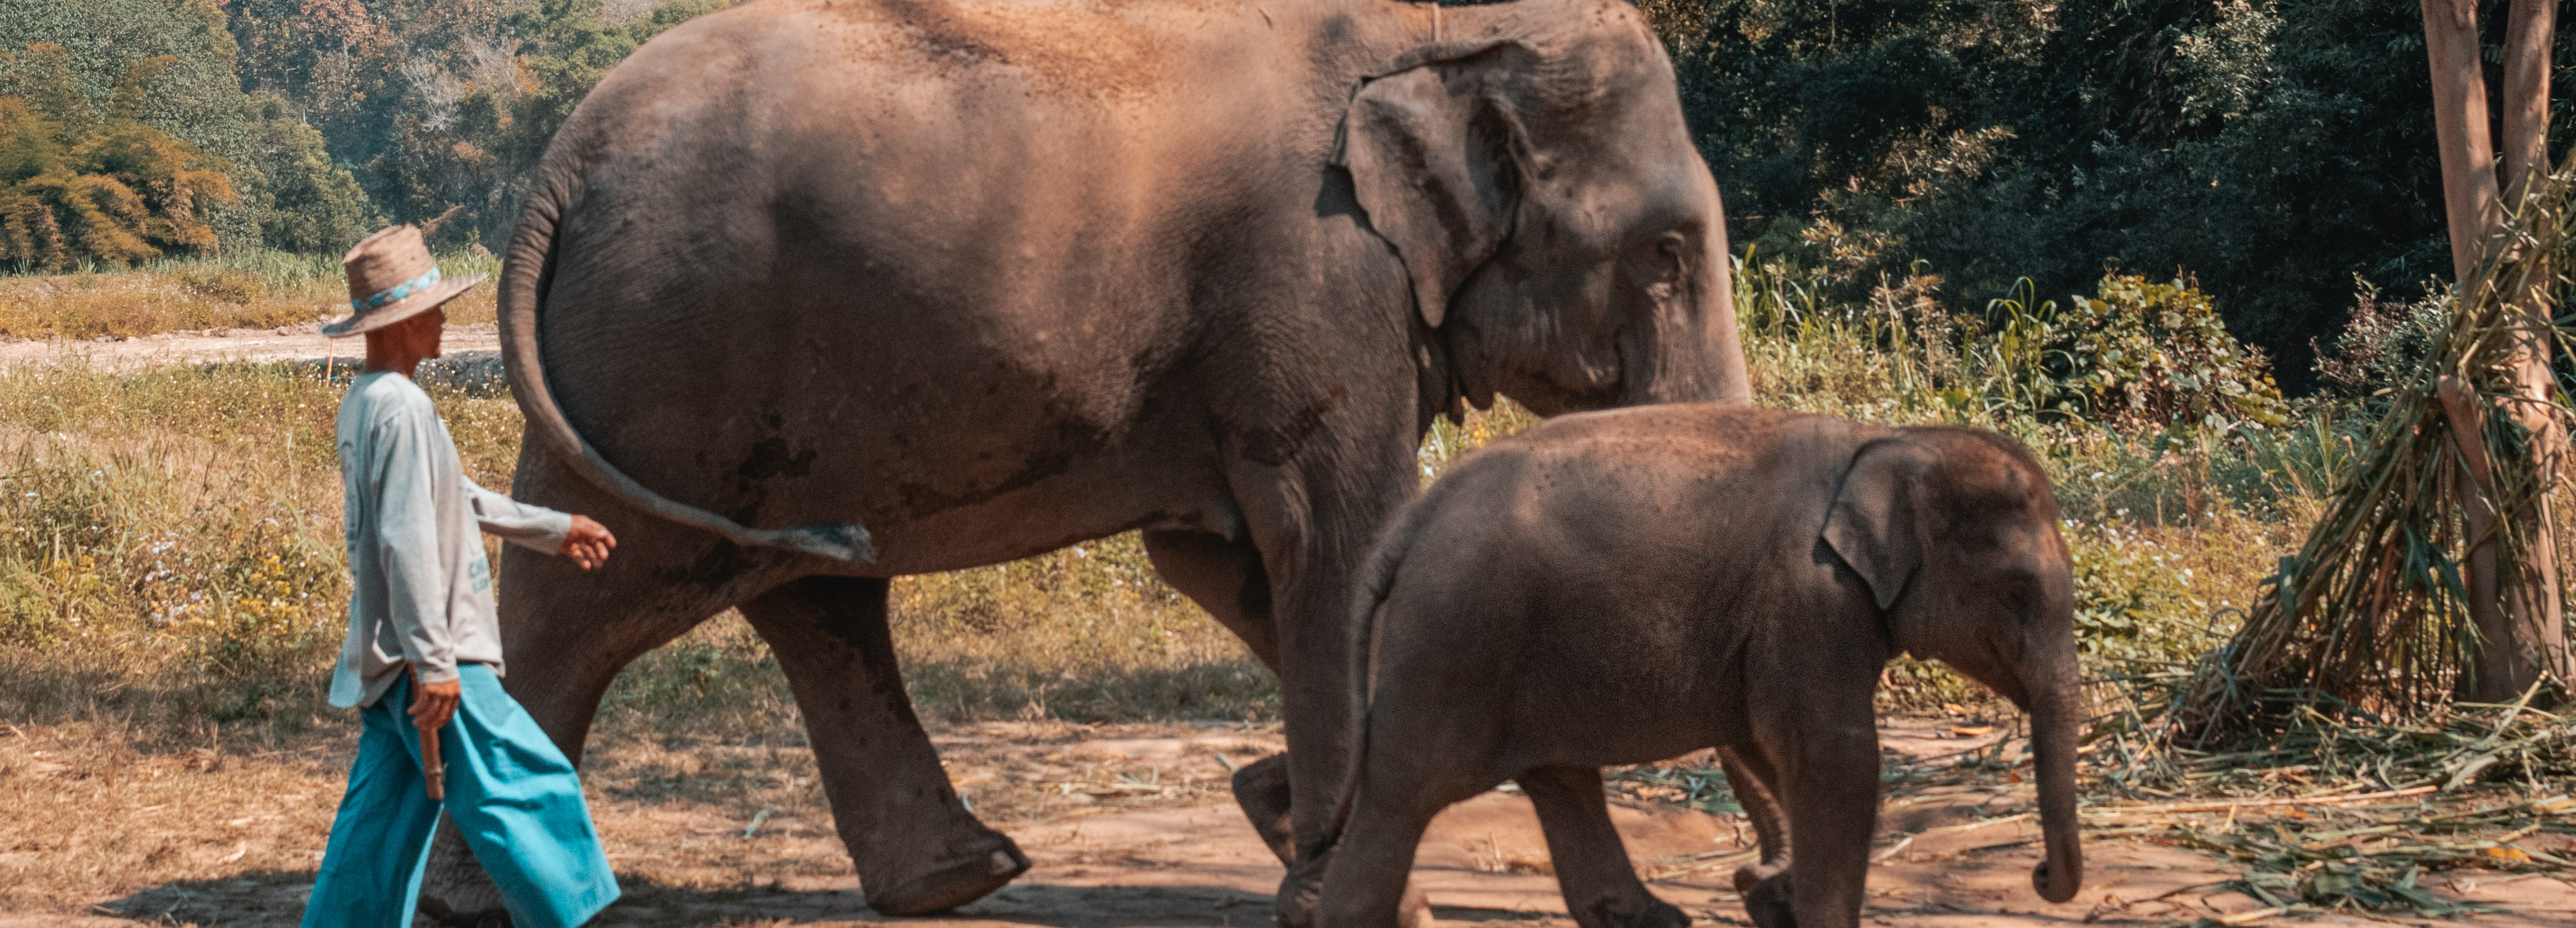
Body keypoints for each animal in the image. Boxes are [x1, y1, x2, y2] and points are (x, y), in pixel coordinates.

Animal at [417, 0, 1752, 918]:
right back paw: (486, 903)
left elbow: (1234, 566)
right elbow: (1336, 540)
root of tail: (557, 169)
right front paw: (1339, 882)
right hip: (667, 360)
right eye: (1665, 254)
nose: (1753, 887)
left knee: (817, 596)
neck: (1440, 32)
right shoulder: (1313, 278)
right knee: (588, 601)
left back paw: (961, 877)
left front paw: (1296, 828)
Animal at [1318, 407, 2081, 928]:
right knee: (1401, 795)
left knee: (1561, 783)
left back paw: (1656, 919)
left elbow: (1768, 747)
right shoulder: (1811, 599)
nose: (2040, 872)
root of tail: (1410, 522)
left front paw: (1774, 898)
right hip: (1451, 642)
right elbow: (1834, 758)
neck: (1889, 440)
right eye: (2018, 594)